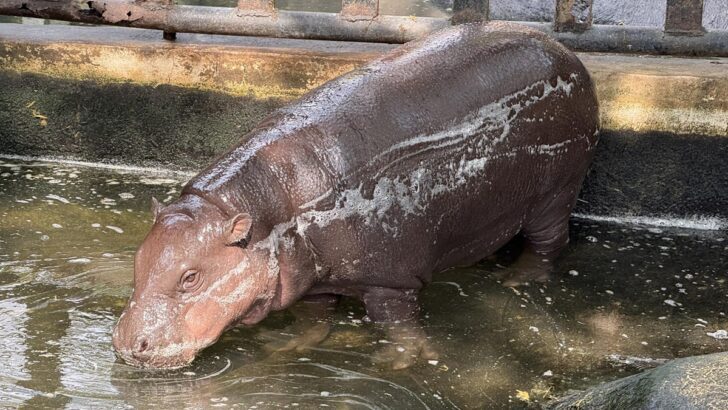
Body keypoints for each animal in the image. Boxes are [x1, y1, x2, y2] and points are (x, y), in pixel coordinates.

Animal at [112, 21, 599, 369]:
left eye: (191, 277)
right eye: (138, 259)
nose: (128, 345)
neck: (268, 208)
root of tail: (562, 49)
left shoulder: (390, 281)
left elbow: (397, 325)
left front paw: (397, 362)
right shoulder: (308, 280)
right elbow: (314, 320)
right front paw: (287, 346)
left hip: (555, 192)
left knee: (549, 242)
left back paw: (517, 280)